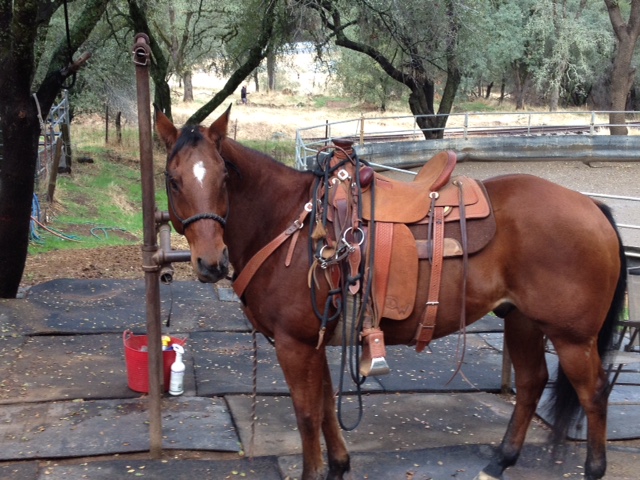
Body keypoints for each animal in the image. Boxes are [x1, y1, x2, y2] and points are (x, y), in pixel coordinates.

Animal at [155, 106, 627, 480]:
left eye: (223, 177)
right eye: (173, 180)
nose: (211, 262)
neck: (291, 222)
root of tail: (591, 206)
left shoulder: (295, 345)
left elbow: (306, 415)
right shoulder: (318, 341)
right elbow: (325, 406)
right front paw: (339, 466)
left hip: (572, 337)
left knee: (594, 393)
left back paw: (593, 469)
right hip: (523, 321)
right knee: (531, 383)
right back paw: (500, 461)